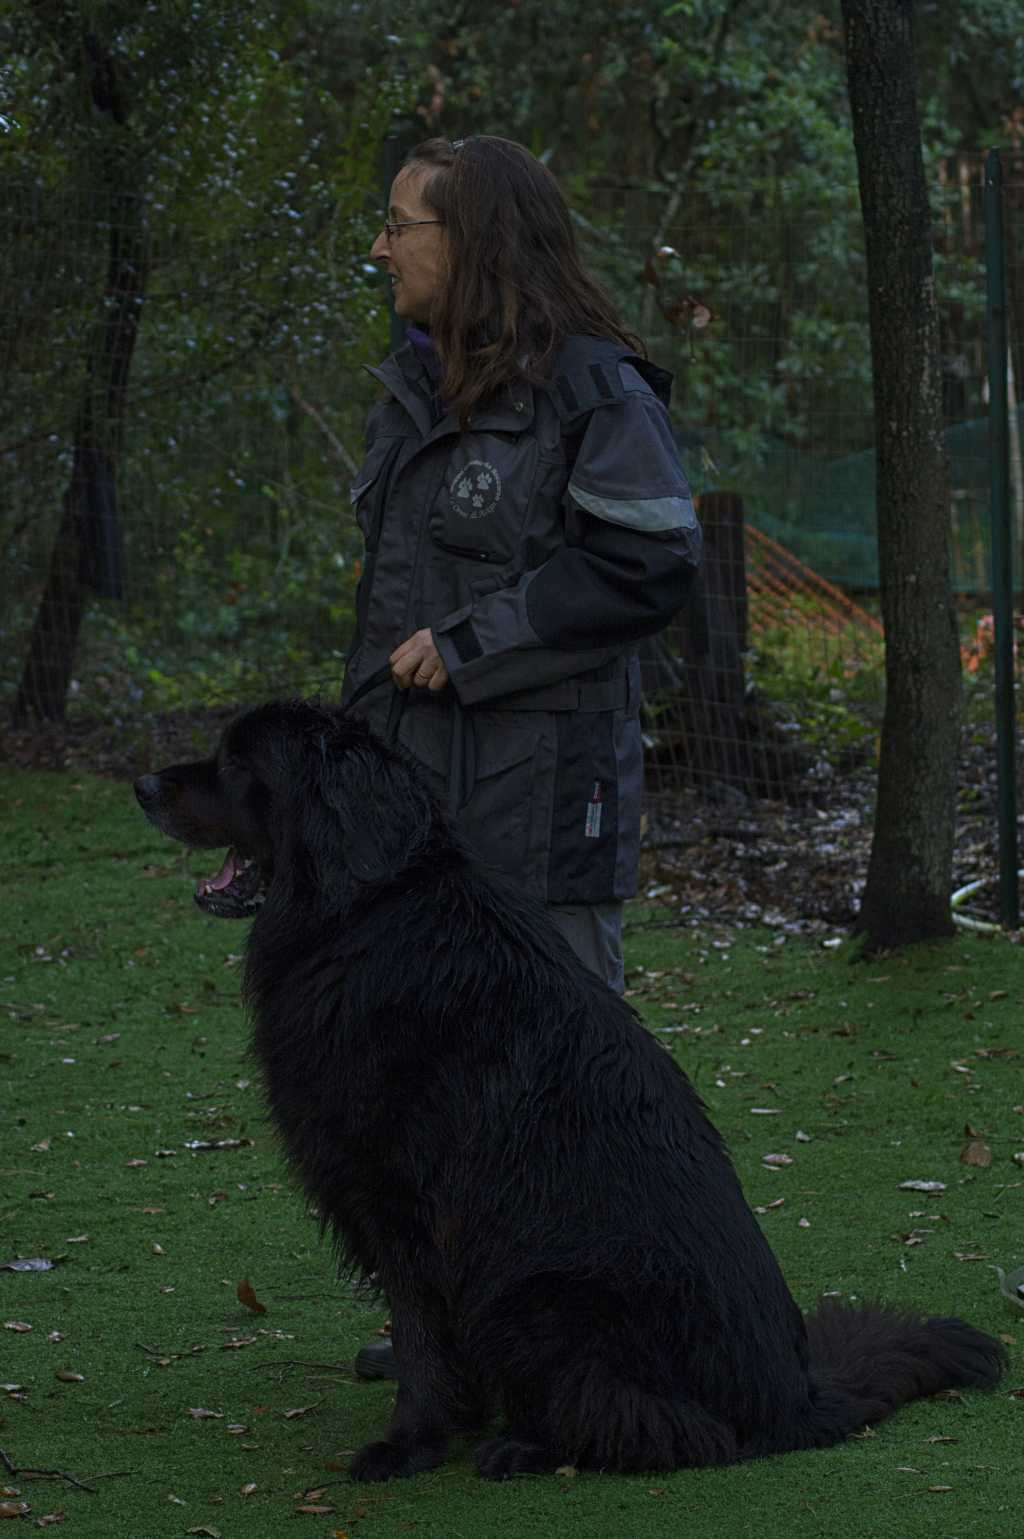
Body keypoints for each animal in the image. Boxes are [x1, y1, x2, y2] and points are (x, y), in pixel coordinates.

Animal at [131, 704, 1003, 1483]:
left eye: (238, 764)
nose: (139, 783)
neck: (366, 909)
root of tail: (798, 1398)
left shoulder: (410, 1206)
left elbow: (419, 1336)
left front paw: (410, 1444)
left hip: (537, 1300)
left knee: (670, 1428)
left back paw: (526, 1447)